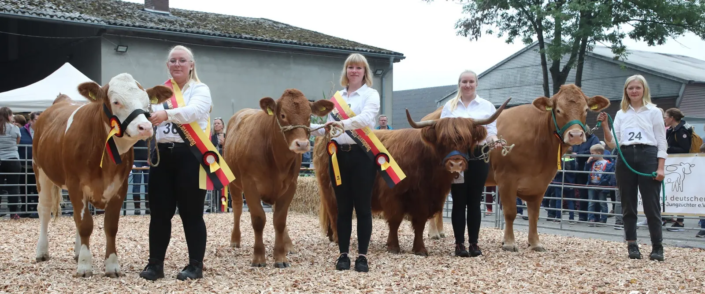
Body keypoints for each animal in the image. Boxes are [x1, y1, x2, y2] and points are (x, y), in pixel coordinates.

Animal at [226, 88, 336, 268]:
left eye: (309, 116)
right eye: (283, 115)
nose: (302, 144)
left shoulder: (290, 185)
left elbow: (280, 220)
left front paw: (280, 257)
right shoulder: (250, 184)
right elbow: (258, 219)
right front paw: (258, 258)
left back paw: (288, 245)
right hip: (234, 183)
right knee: (237, 208)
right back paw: (235, 240)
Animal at [316, 99, 508, 255]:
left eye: (467, 140)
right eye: (442, 141)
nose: (456, 164)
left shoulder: (424, 199)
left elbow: (420, 224)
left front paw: (420, 249)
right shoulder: (393, 195)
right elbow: (395, 220)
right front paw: (393, 246)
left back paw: (332, 236)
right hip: (333, 189)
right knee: (335, 212)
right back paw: (339, 239)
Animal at [426, 84, 608, 252]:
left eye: (585, 110)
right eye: (558, 110)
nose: (576, 135)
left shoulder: (541, 183)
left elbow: (534, 215)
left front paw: (535, 243)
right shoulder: (507, 179)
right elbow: (510, 212)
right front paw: (509, 242)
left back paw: (440, 232)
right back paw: (433, 233)